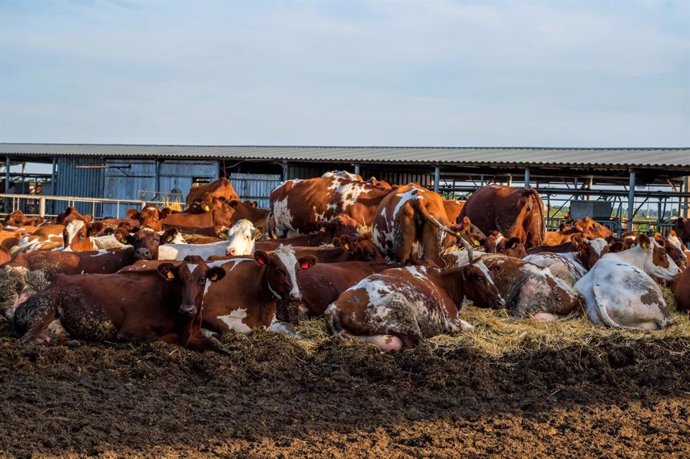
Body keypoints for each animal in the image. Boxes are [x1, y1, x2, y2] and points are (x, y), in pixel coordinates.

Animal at [320, 262, 502, 352]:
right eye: (478, 278)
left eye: (492, 277)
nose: (501, 301)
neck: (441, 282)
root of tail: (334, 308)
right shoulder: (451, 320)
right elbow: (474, 329)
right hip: (402, 312)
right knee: (420, 344)